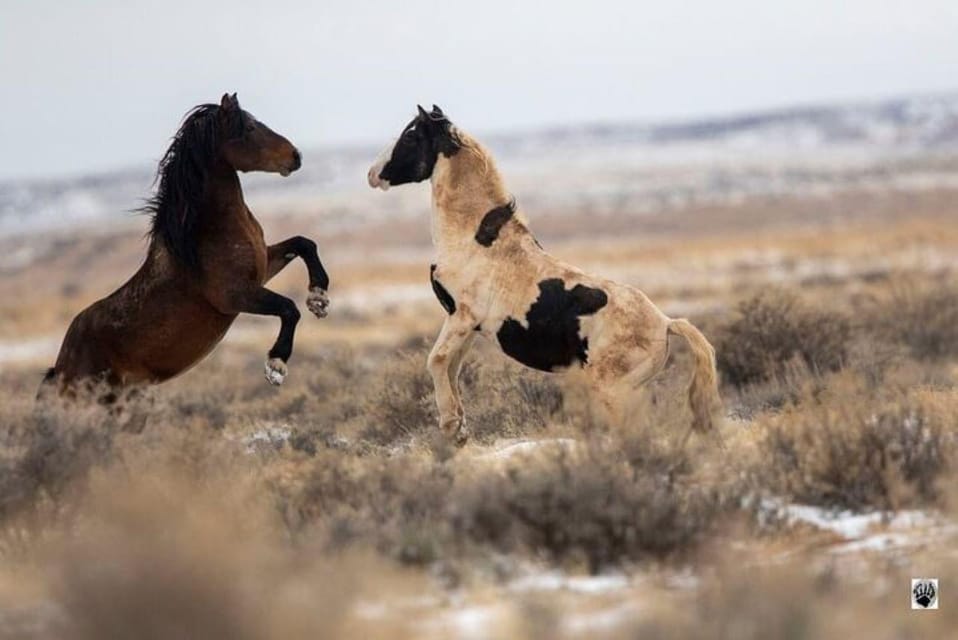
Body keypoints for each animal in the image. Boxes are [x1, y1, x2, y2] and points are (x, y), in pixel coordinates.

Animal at [40, 92, 330, 402]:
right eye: (250, 128)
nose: (295, 156)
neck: (204, 235)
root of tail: (60, 367)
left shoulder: (263, 269)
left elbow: (304, 243)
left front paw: (319, 298)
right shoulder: (236, 295)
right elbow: (288, 308)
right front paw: (276, 366)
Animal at [368, 106, 720, 444]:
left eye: (411, 135)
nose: (373, 174)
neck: (475, 237)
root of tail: (666, 323)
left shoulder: (463, 316)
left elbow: (437, 361)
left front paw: (451, 425)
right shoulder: (462, 322)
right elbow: (452, 367)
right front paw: (459, 432)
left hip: (615, 393)